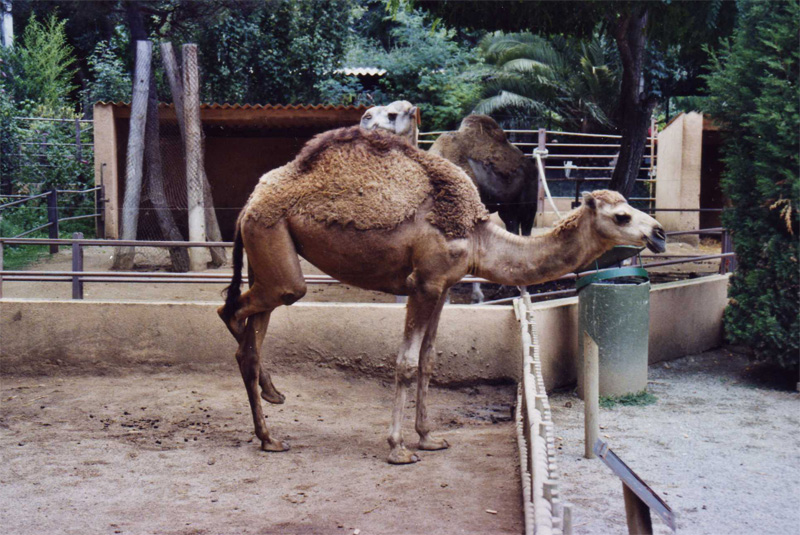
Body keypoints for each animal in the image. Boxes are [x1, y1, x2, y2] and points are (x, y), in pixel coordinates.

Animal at [218, 126, 666, 464]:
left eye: (629, 207)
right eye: (621, 216)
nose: (659, 233)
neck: (478, 236)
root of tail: (249, 203)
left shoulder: (445, 287)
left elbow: (429, 360)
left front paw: (428, 437)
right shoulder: (424, 283)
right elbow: (405, 363)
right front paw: (398, 448)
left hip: (267, 255)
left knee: (251, 326)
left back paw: (269, 416)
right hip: (274, 246)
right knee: (237, 311)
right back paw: (268, 428)